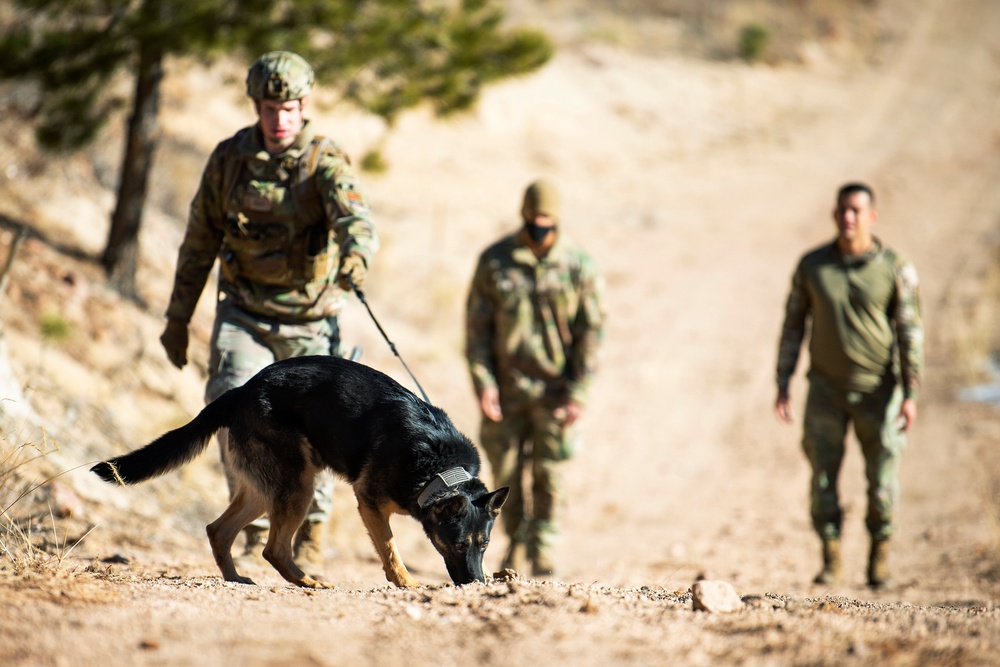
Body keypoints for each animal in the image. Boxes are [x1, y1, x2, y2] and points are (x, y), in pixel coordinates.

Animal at [92, 354, 508, 588]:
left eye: (484, 545)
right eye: (458, 545)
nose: (477, 584)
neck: (440, 469)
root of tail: (242, 390)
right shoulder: (369, 502)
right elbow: (390, 549)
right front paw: (407, 584)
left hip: (268, 489)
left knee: (218, 530)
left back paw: (236, 578)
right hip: (298, 486)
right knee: (273, 548)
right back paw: (308, 582)